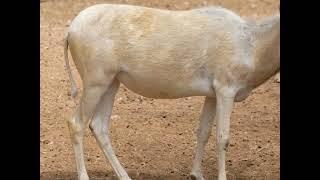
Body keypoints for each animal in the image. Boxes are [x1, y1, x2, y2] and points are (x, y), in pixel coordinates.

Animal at [64, 3, 280, 180]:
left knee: (99, 126)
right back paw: (84, 176)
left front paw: (196, 175)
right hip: (95, 83)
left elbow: (203, 132)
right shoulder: (226, 91)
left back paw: (125, 176)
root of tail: (72, 30)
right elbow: (223, 137)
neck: (251, 43)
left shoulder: (212, 95)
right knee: (77, 124)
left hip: (111, 83)